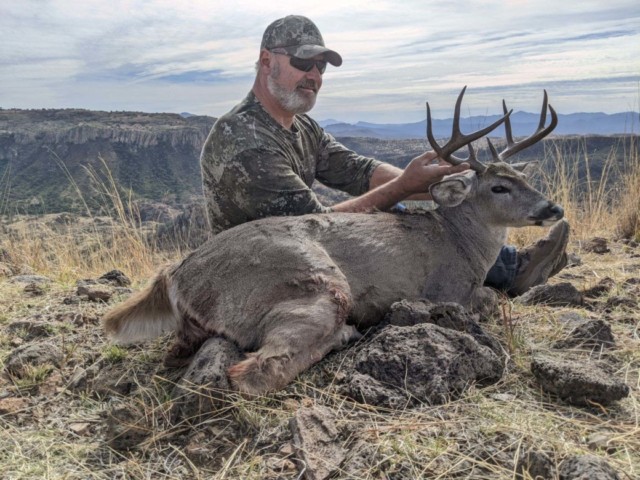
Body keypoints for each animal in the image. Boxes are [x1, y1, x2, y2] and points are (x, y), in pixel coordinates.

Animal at [102, 87, 564, 395]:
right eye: (499, 187)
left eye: (524, 178)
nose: (554, 208)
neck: (462, 244)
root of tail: (177, 274)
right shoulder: (448, 290)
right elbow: (493, 298)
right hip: (314, 285)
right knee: (255, 373)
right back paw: (348, 333)